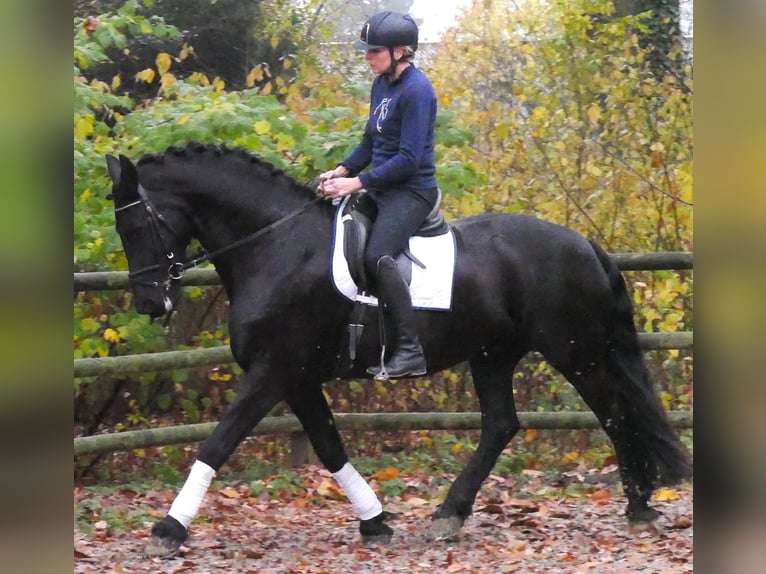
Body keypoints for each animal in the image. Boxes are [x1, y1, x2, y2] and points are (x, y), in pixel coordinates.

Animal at [105, 142, 691, 558]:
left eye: (136, 223)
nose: (150, 303)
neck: (276, 247)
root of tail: (585, 245)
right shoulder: (298, 378)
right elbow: (329, 447)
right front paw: (376, 521)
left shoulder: (273, 371)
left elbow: (217, 444)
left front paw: (167, 529)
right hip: (494, 354)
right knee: (502, 424)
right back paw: (450, 514)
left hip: (575, 353)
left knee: (613, 414)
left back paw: (638, 506)